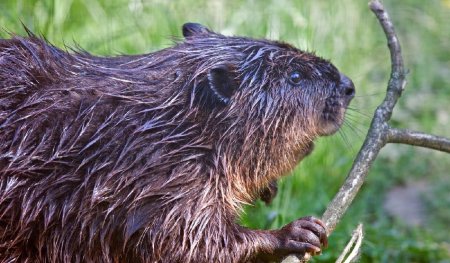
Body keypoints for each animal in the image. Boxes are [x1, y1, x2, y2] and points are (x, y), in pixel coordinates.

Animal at [0, 23, 354, 263]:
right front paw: (298, 232)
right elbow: (187, 243)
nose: (348, 85)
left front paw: (269, 188)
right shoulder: (155, 176)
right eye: (295, 76)